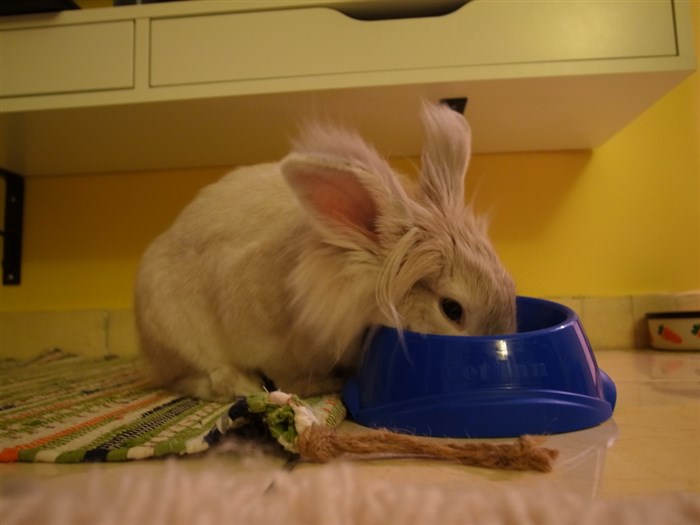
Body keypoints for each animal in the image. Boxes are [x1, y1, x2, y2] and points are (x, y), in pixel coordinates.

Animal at [134, 102, 516, 401]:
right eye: (452, 309)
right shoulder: (269, 343)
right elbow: (285, 375)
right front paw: (318, 385)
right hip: (175, 330)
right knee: (195, 378)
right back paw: (242, 385)